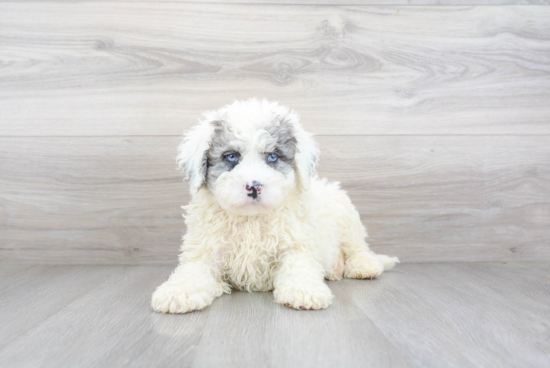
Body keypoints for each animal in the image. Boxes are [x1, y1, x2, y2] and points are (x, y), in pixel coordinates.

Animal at [153, 98, 398, 314]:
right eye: (231, 157)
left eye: (273, 156)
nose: (253, 187)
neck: (251, 220)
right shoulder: (205, 250)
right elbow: (192, 270)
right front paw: (177, 293)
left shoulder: (297, 243)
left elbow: (298, 265)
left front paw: (304, 291)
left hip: (346, 215)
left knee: (358, 247)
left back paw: (364, 266)